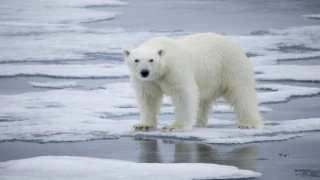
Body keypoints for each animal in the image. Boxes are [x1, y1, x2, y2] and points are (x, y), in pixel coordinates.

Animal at [121, 32, 264, 131]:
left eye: (151, 60)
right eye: (136, 60)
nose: (144, 72)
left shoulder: (176, 69)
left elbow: (183, 94)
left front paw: (176, 126)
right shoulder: (147, 81)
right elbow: (148, 98)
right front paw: (142, 125)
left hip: (230, 66)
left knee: (241, 93)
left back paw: (249, 123)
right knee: (202, 101)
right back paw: (197, 122)